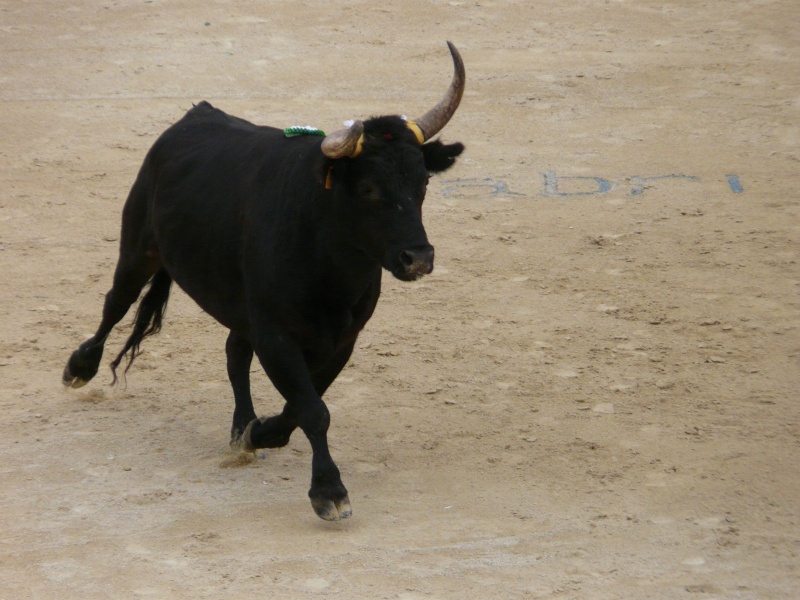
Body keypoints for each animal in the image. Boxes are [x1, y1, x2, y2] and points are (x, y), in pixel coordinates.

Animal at [64, 42, 468, 520]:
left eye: (423, 182)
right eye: (368, 188)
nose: (418, 258)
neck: (330, 266)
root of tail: (195, 114)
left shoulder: (341, 340)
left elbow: (301, 406)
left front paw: (258, 433)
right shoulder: (275, 334)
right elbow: (313, 410)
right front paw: (328, 490)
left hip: (239, 306)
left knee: (234, 353)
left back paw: (242, 427)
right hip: (139, 248)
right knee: (116, 302)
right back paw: (79, 367)